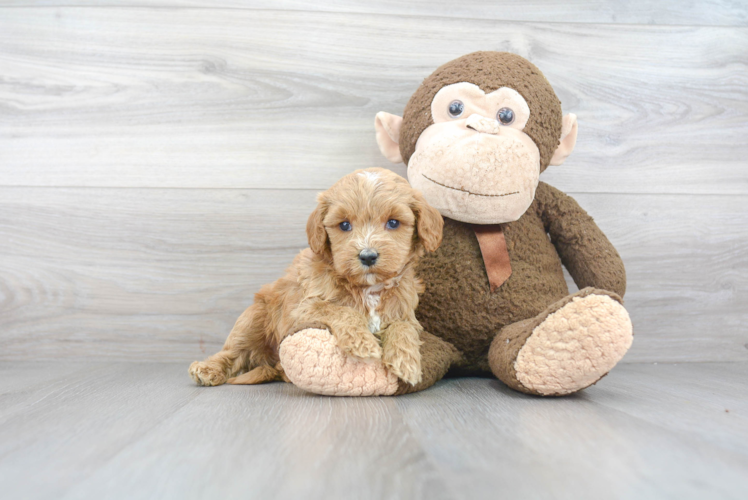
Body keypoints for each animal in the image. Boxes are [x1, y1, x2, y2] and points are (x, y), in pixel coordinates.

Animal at [188, 168, 444, 386]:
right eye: (344, 225)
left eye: (393, 222)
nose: (368, 256)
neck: (368, 288)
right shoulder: (303, 309)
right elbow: (342, 310)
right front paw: (362, 343)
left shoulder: (405, 311)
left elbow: (403, 327)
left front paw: (407, 362)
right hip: (253, 319)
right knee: (233, 352)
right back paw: (207, 369)